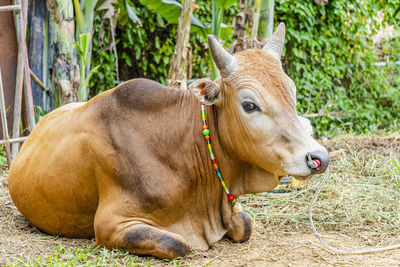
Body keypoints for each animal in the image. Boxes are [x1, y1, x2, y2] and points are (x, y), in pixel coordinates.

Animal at [8, 23, 328, 260]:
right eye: (249, 105)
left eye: (292, 93)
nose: (318, 157)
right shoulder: (111, 224)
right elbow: (178, 244)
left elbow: (246, 224)